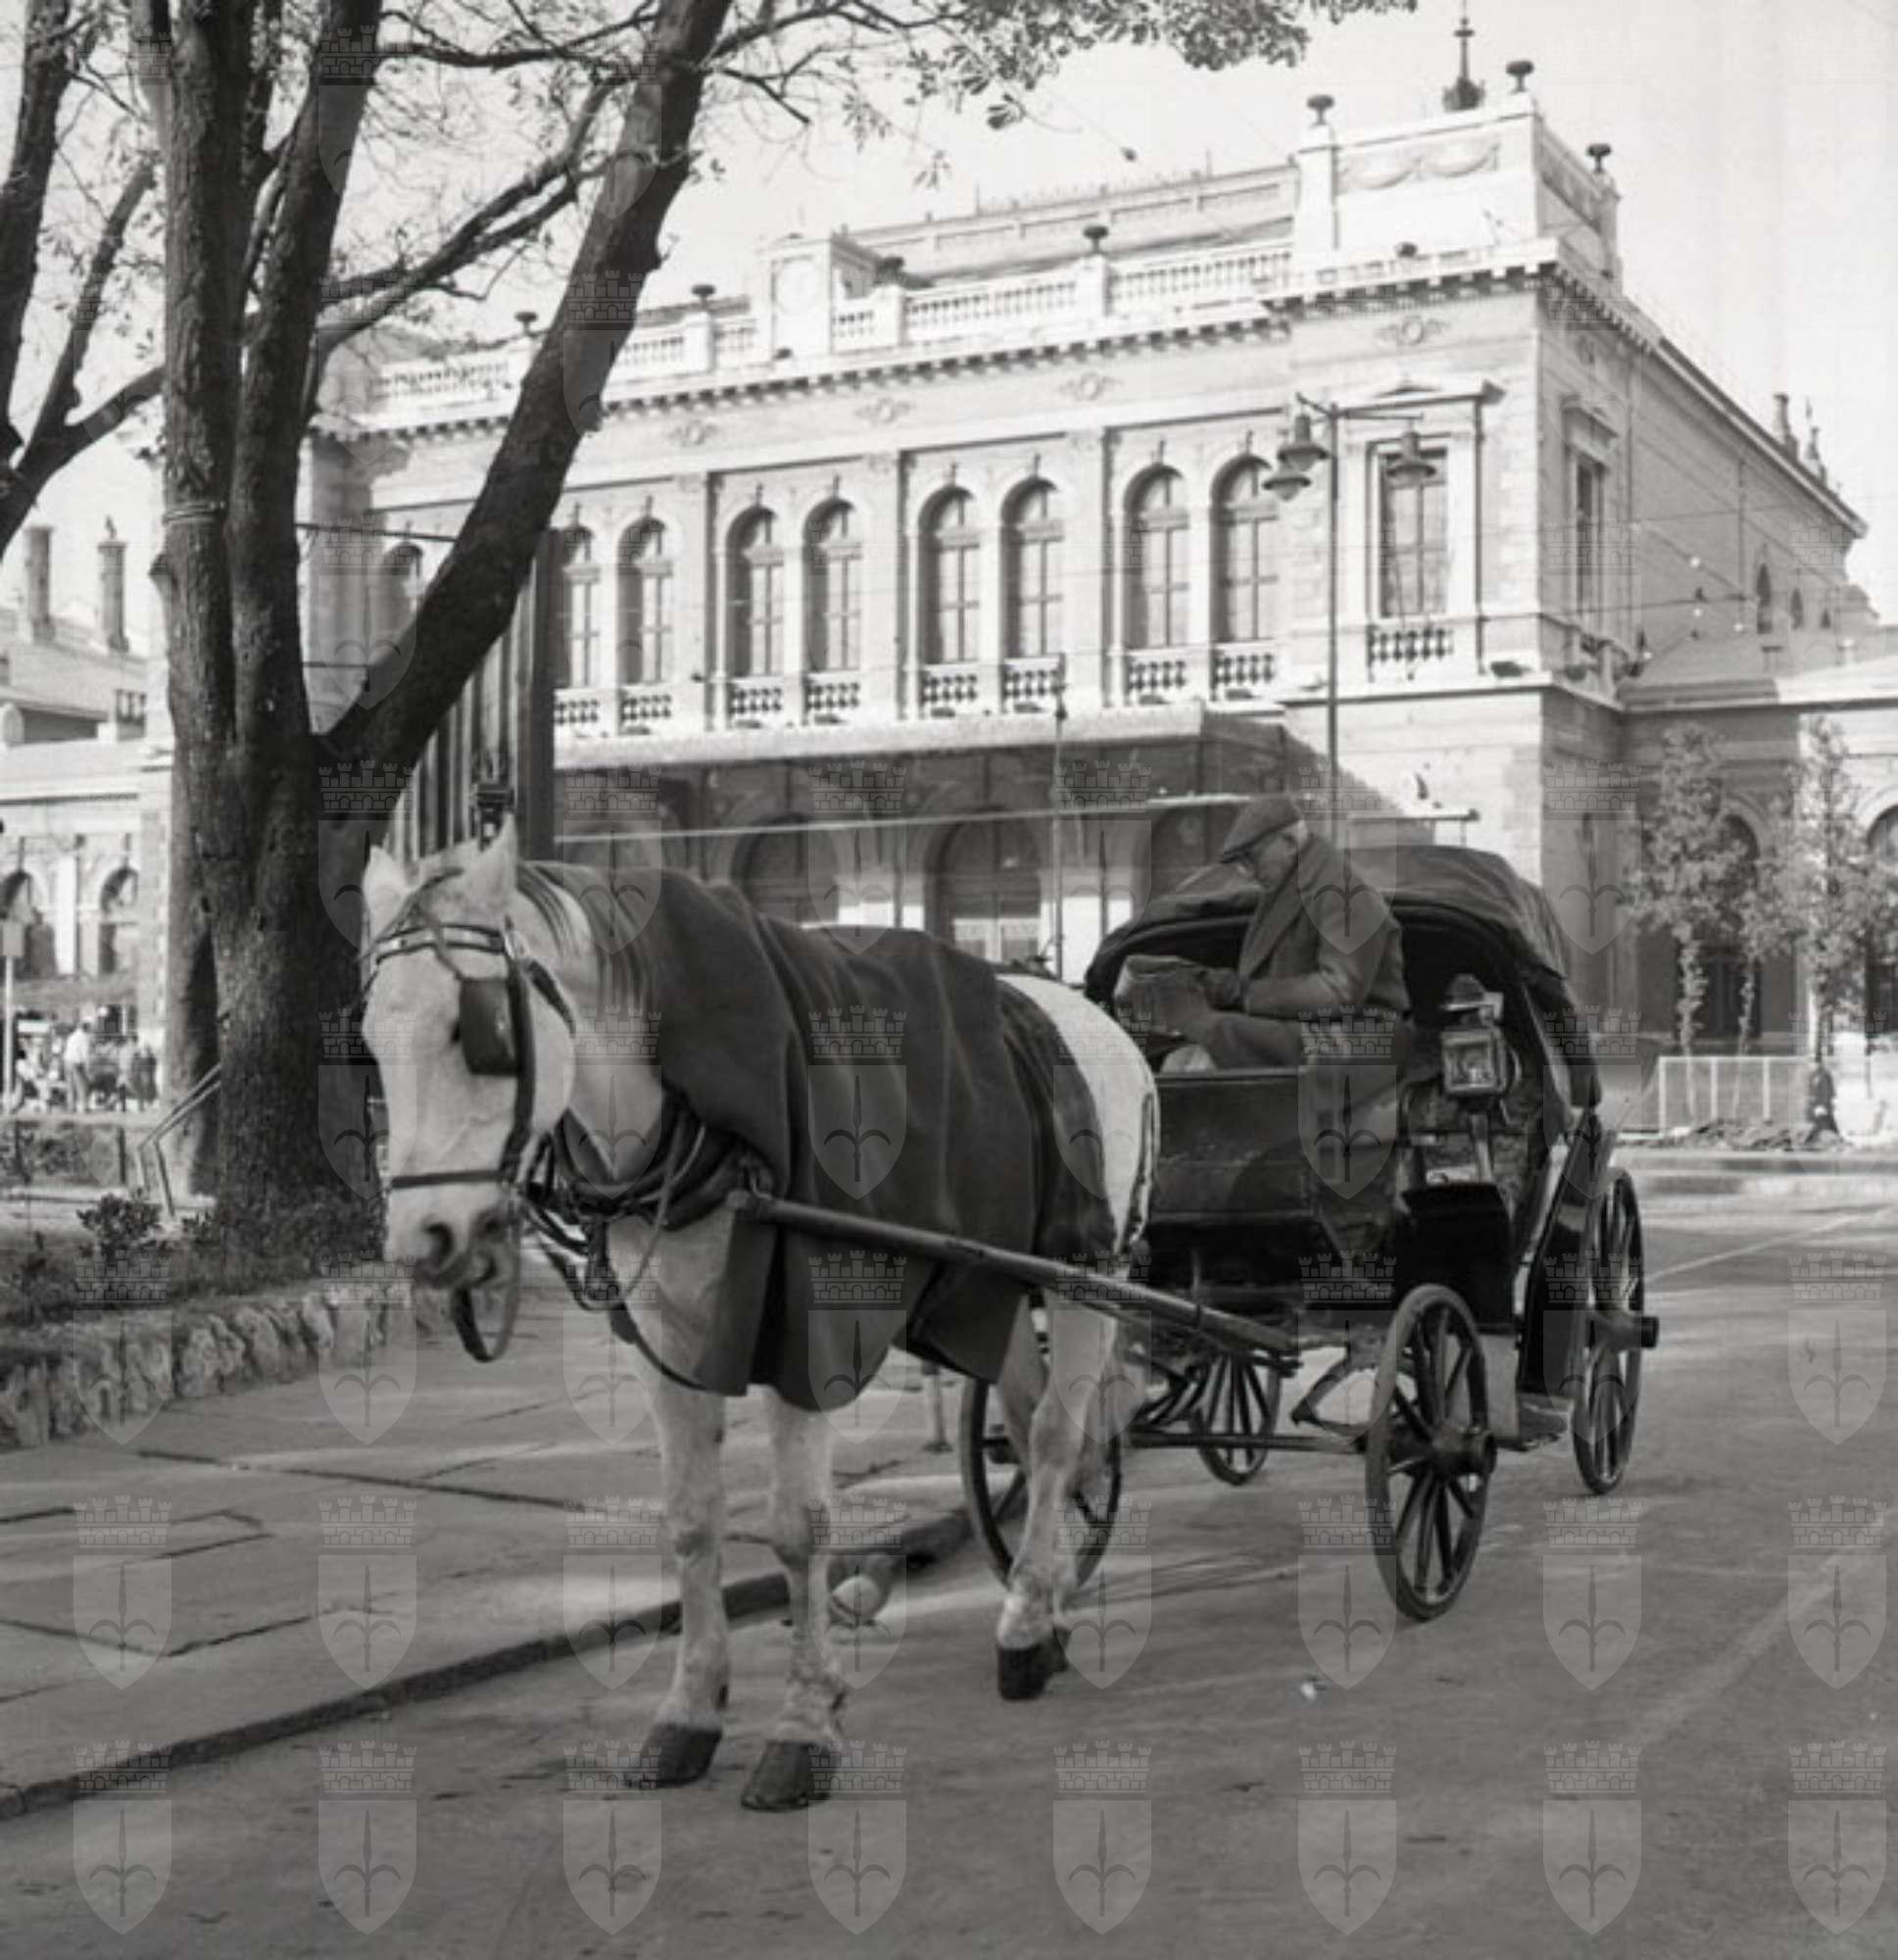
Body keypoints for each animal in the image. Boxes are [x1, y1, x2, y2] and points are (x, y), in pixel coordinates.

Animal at [357, 819, 1157, 1810]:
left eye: (480, 1035)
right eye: (370, 1037)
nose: (420, 1240)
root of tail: (1091, 1015)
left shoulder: (805, 1325)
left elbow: (797, 1529)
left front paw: (804, 1724)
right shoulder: (662, 1335)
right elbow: (690, 1519)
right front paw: (689, 1711)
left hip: (1088, 1268)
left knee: (1053, 1438)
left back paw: (1020, 1626)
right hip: (993, 1277)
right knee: (1026, 1412)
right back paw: (1042, 1601)